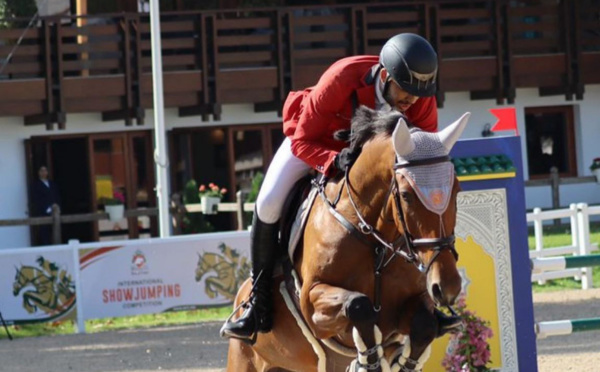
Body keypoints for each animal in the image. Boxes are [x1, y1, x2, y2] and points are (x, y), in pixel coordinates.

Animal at [224, 106, 468, 370]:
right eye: (405, 195)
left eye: (457, 190)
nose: (448, 287)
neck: (375, 241)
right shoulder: (312, 303)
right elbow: (359, 306)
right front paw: (368, 362)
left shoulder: (410, 305)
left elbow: (425, 324)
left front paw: (400, 363)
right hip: (244, 358)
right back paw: (246, 320)